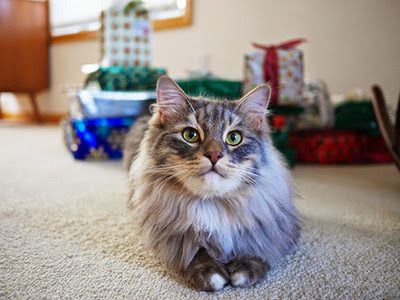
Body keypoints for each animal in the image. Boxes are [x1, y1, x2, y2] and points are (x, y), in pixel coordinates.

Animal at [123, 75, 298, 292]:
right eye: (190, 135)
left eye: (234, 138)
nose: (214, 155)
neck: (213, 204)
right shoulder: (172, 235)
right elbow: (196, 252)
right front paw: (213, 275)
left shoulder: (272, 228)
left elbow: (255, 245)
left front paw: (244, 269)